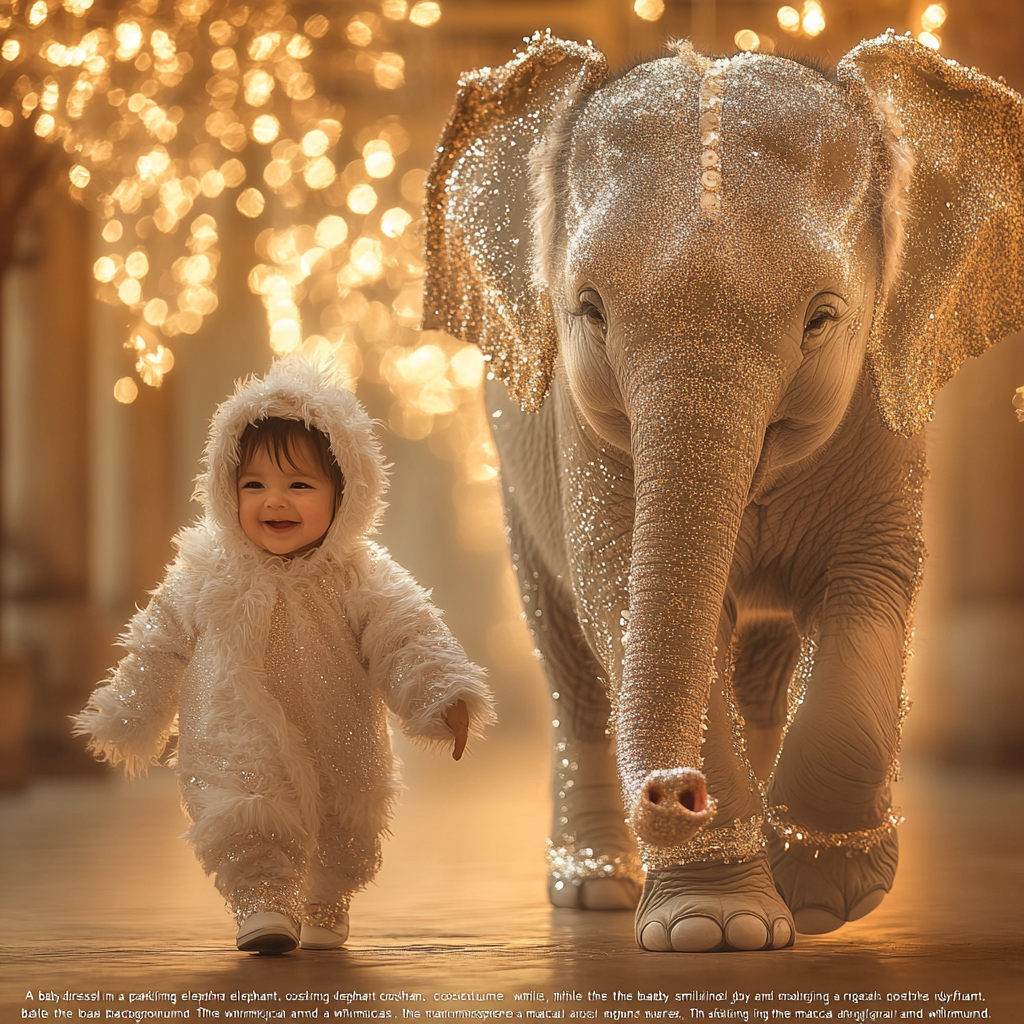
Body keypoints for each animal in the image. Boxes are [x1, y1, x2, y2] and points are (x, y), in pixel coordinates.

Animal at [419, 32, 1019, 950]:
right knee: (574, 669)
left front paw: (822, 897)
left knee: (759, 673)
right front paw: (717, 930)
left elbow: (873, 585)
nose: (674, 791)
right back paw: (595, 887)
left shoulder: (890, 407)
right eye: (589, 310)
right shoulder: (579, 434)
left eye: (822, 318)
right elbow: (621, 596)